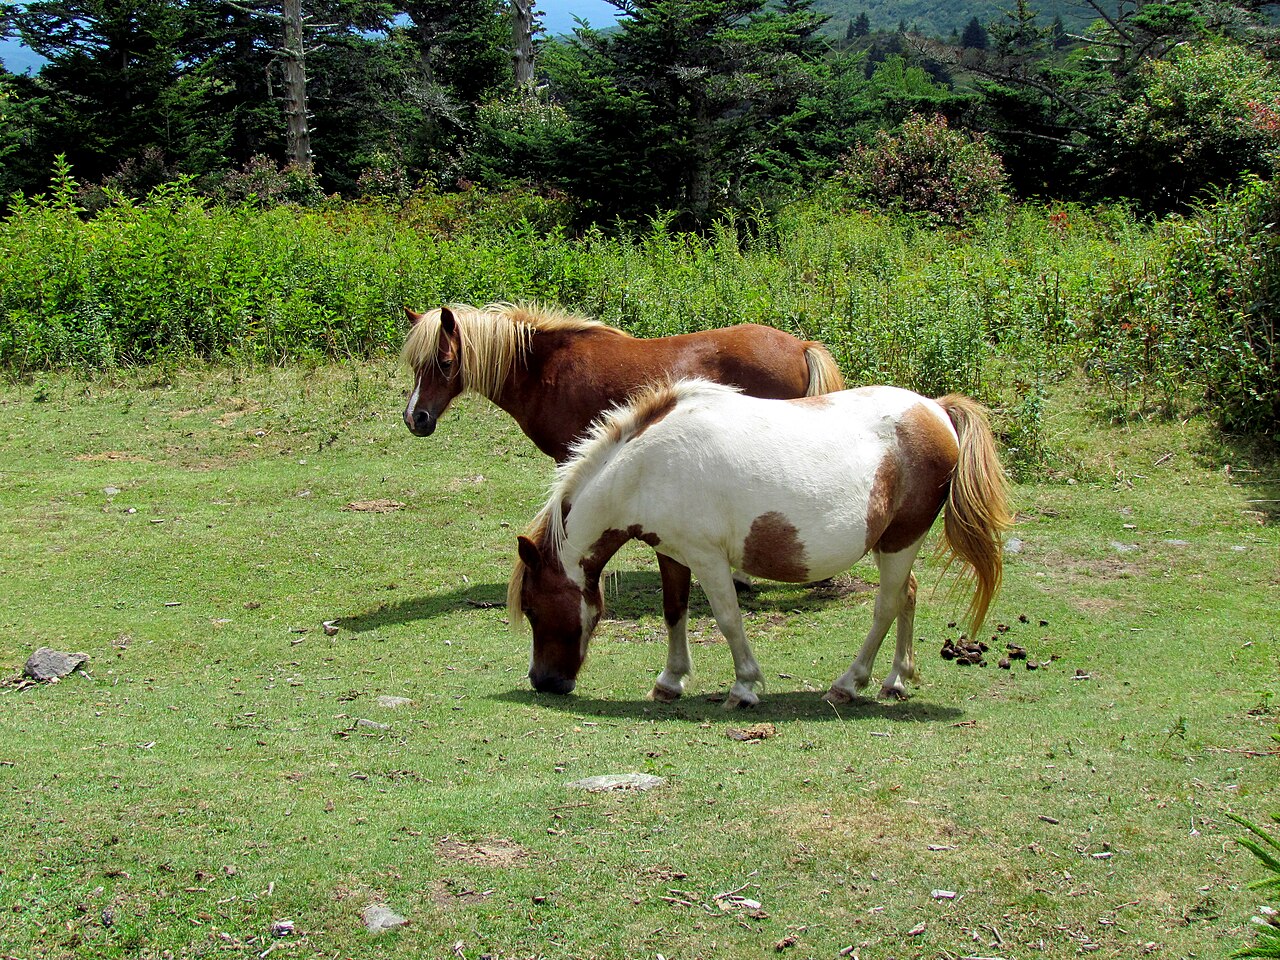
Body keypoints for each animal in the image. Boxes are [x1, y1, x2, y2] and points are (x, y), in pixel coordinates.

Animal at [508, 378, 1012, 708]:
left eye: (531, 608)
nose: (543, 681)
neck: (649, 467)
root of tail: (936, 409)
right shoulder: (672, 553)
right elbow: (674, 613)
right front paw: (670, 681)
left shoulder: (709, 559)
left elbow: (729, 619)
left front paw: (744, 687)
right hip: (894, 544)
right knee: (908, 595)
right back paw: (896, 681)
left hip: (901, 541)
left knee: (887, 605)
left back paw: (849, 684)